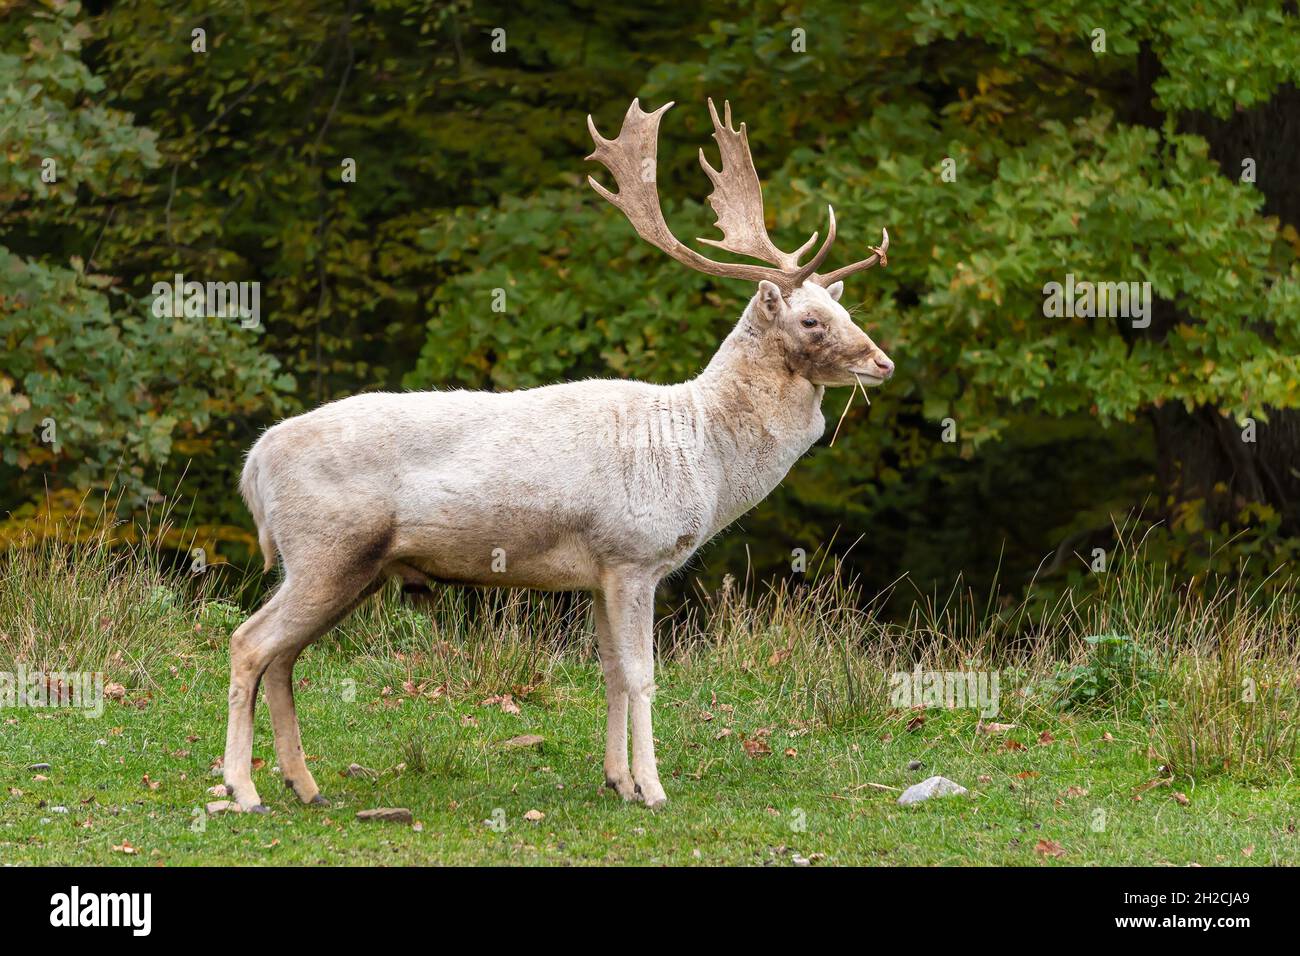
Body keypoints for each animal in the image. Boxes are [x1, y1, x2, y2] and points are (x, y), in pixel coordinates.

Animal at [223, 98, 893, 812]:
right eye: (811, 321)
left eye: (845, 312)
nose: (883, 362)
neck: (703, 453)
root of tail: (253, 465)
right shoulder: (633, 554)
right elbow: (642, 675)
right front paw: (654, 789)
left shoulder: (601, 573)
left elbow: (611, 674)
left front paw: (618, 780)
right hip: (326, 548)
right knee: (249, 643)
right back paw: (243, 788)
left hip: (348, 567)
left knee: (282, 657)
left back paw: (305, 786)